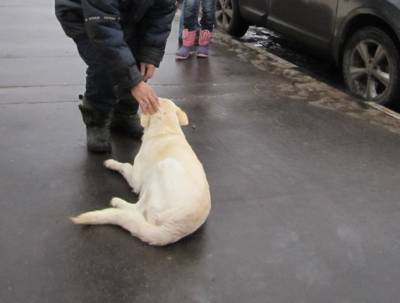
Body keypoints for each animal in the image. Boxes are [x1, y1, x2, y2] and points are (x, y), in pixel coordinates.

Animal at [71, 100, 212, 247]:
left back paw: (118, 202)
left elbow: (125, 165)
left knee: (138, 209)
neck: (167, 131)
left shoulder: (136, 178)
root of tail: (175, 229)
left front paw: (111, 163)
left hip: (161, 169)